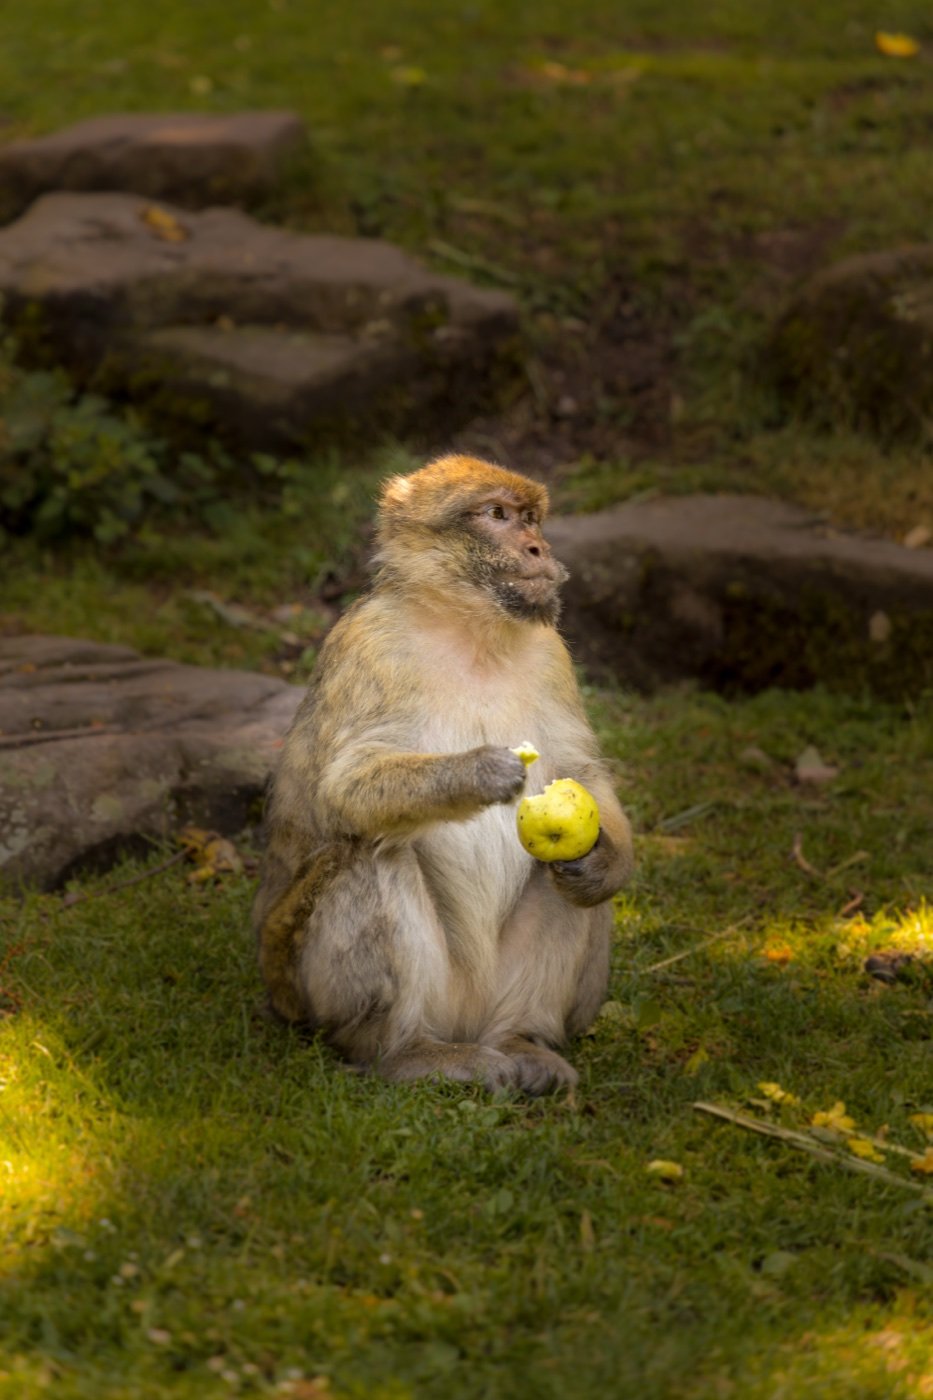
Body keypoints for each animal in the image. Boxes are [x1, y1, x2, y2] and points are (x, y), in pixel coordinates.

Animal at [252, 454, 634, 1094]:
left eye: (530, 518)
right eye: (497, 515)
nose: (537, 546)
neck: (470, 631)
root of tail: (467, 1020)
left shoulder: (552, 653)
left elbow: (581, 769)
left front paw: (607, 863)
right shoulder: (369, 645)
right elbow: (342, 791)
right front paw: (476, 772)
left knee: (556, 885)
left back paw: (523, 1040)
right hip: (325, 993)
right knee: (372, 855)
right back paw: (398, 1052)